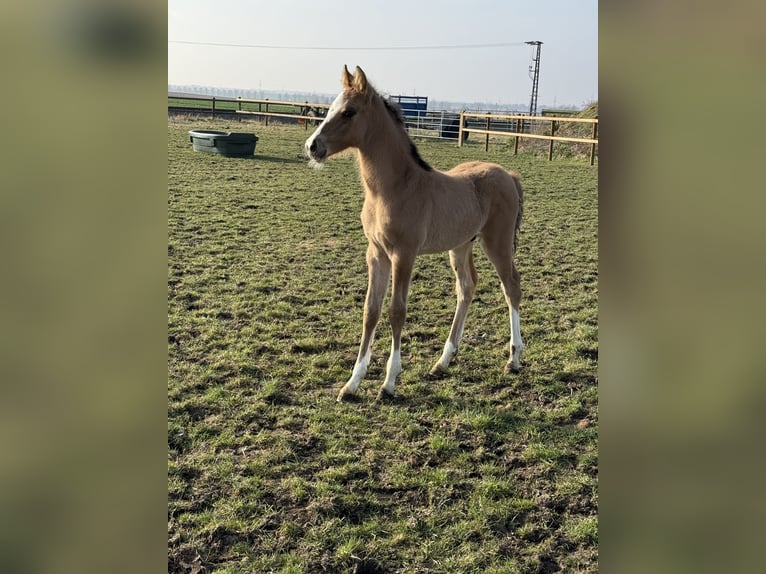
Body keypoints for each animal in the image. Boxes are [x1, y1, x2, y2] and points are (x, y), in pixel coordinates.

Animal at [306, 65, 528, 402]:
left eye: (349, 112)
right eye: (330, 107)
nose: (313, 146)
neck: (394, 188)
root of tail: (509, 175)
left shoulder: (404, 255)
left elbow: (396, 311)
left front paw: (388, 383)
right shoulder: (376, 254)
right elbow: (370, 311)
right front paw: (352, 384)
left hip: (497, 243)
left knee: (511, 287)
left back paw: (513, 358)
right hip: (460, 245)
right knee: (467, 287)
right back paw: (442, 362)